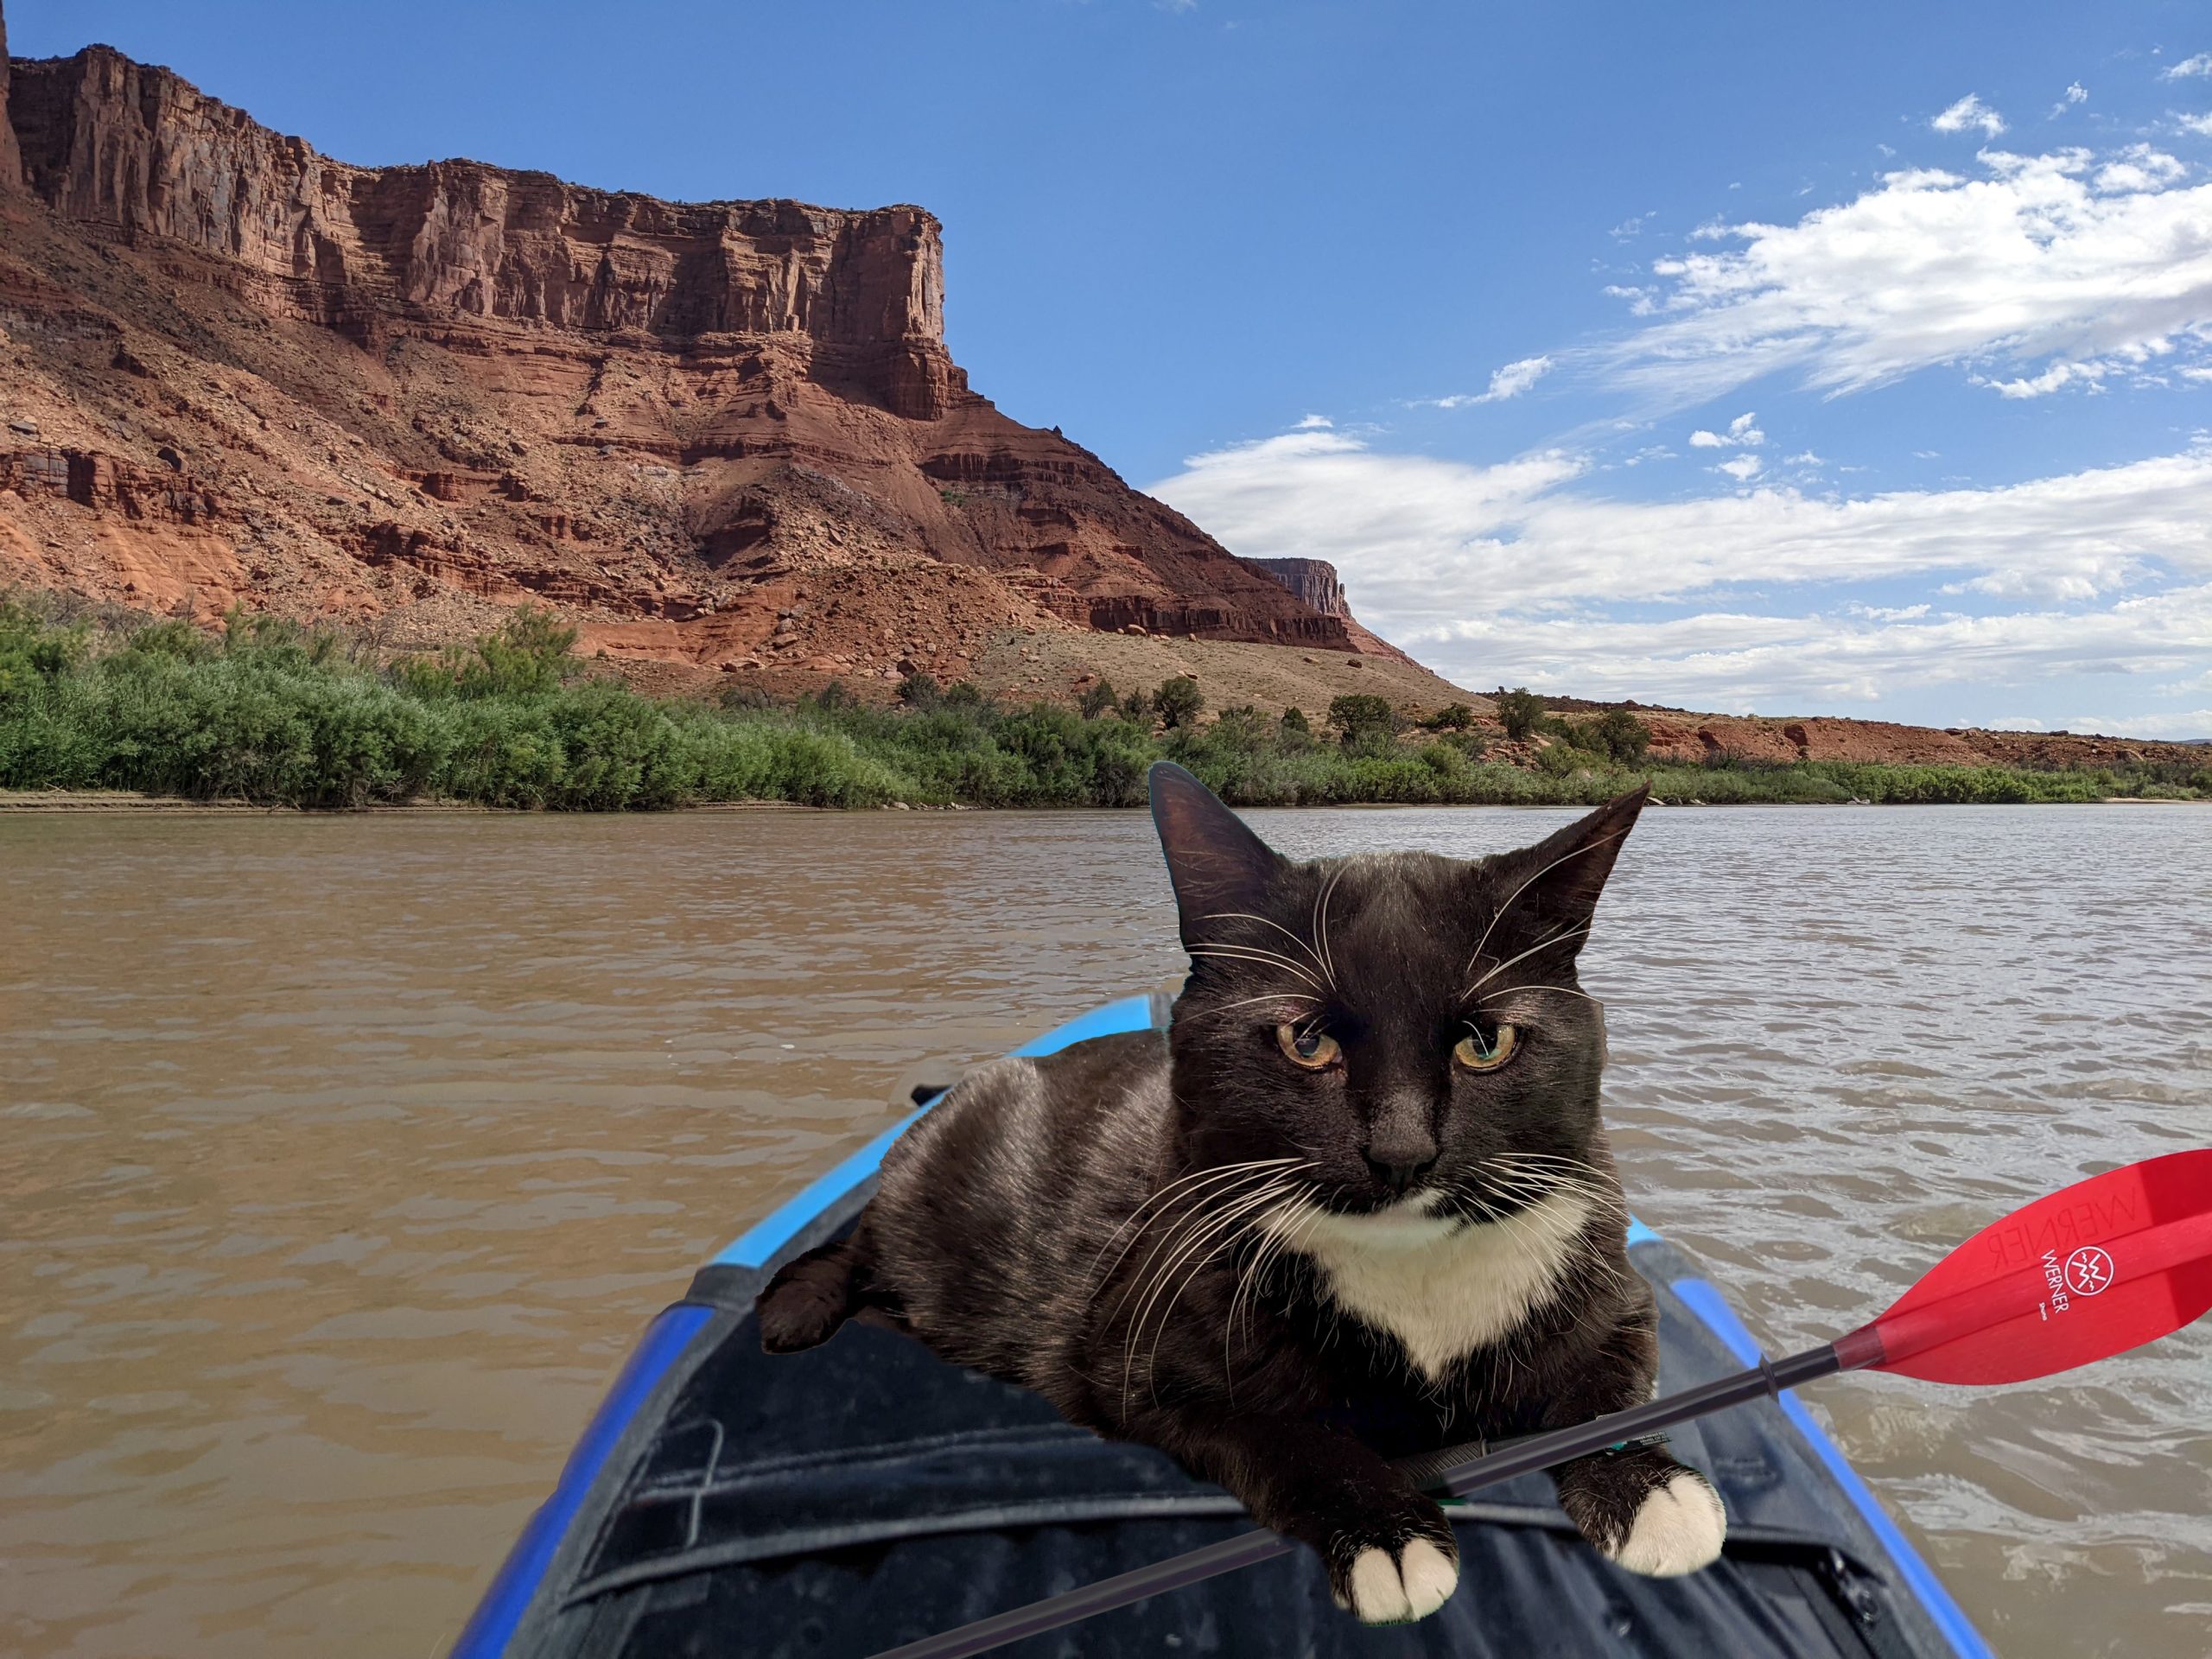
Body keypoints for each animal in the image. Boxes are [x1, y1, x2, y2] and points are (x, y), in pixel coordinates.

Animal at [760, 765, 1725, 1628]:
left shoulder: (1613, 1290)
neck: (1411, 1276)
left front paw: (1648, 1487)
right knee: (864, 1239)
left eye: (1485, 1044)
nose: (1402, 1152)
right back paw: (795, 1305)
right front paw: (1386, 1534)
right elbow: (1283, 1433)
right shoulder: (1137, 1353)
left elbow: (1606, 1383)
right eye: (1306, 1041)